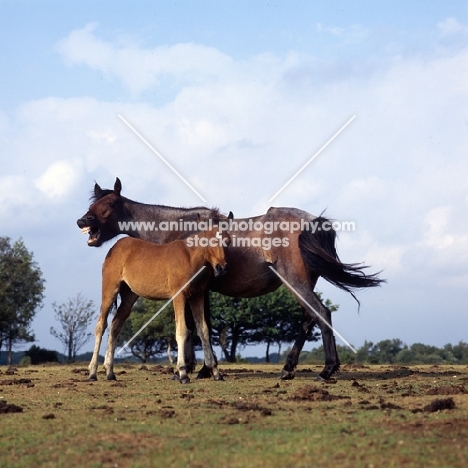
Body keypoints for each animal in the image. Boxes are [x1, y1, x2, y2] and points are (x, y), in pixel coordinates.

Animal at [88, 224, 230, 384]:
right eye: (210, 241)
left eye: (227, 242)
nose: (222, 268)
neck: (190, 257)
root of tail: (114, 247)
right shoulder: (179, 296)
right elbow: (182, 330)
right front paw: (183, 373)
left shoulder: (197, 296)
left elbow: (203, 330)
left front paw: (216, 372)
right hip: (110, 290)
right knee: (101, 326)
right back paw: (92, 372)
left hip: (129, 297)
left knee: (115, 326)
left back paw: (110, 372)